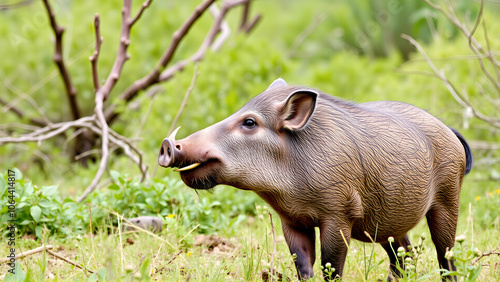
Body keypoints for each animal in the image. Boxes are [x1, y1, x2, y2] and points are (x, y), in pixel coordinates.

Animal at [158, 78, 470, 280]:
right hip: (389, 223)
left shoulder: (339, 216)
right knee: (404, 255)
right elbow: (304, 268)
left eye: (249, 122)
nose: (167, 145)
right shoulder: (292, 221)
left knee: (445, 256)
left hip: (447, 201)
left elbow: (330, 268)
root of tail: (451, 132)